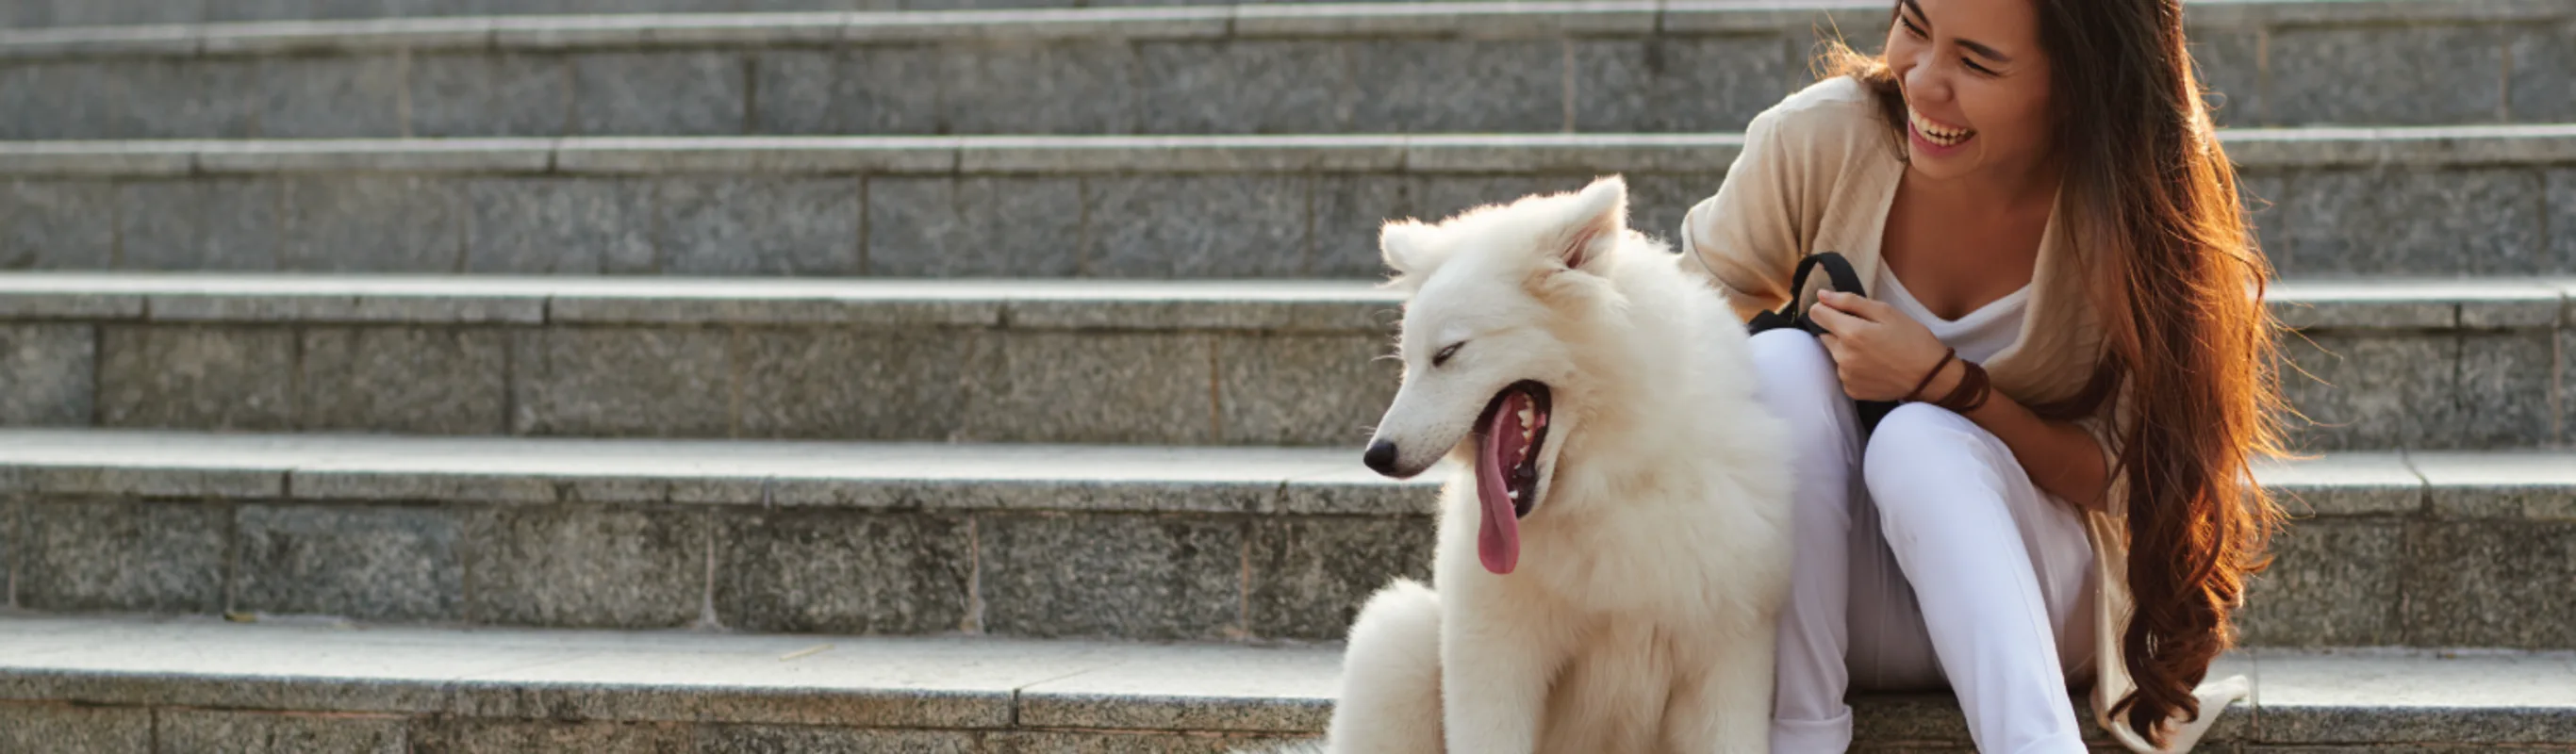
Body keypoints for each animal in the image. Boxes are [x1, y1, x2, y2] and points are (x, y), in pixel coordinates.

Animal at [1308, 177, 1792, 751]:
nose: (1376, 456)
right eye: (1409, 362)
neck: (1609, 484)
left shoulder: (1726, 654)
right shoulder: (1494, 654)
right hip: (1395, 635)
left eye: (1448, 353)